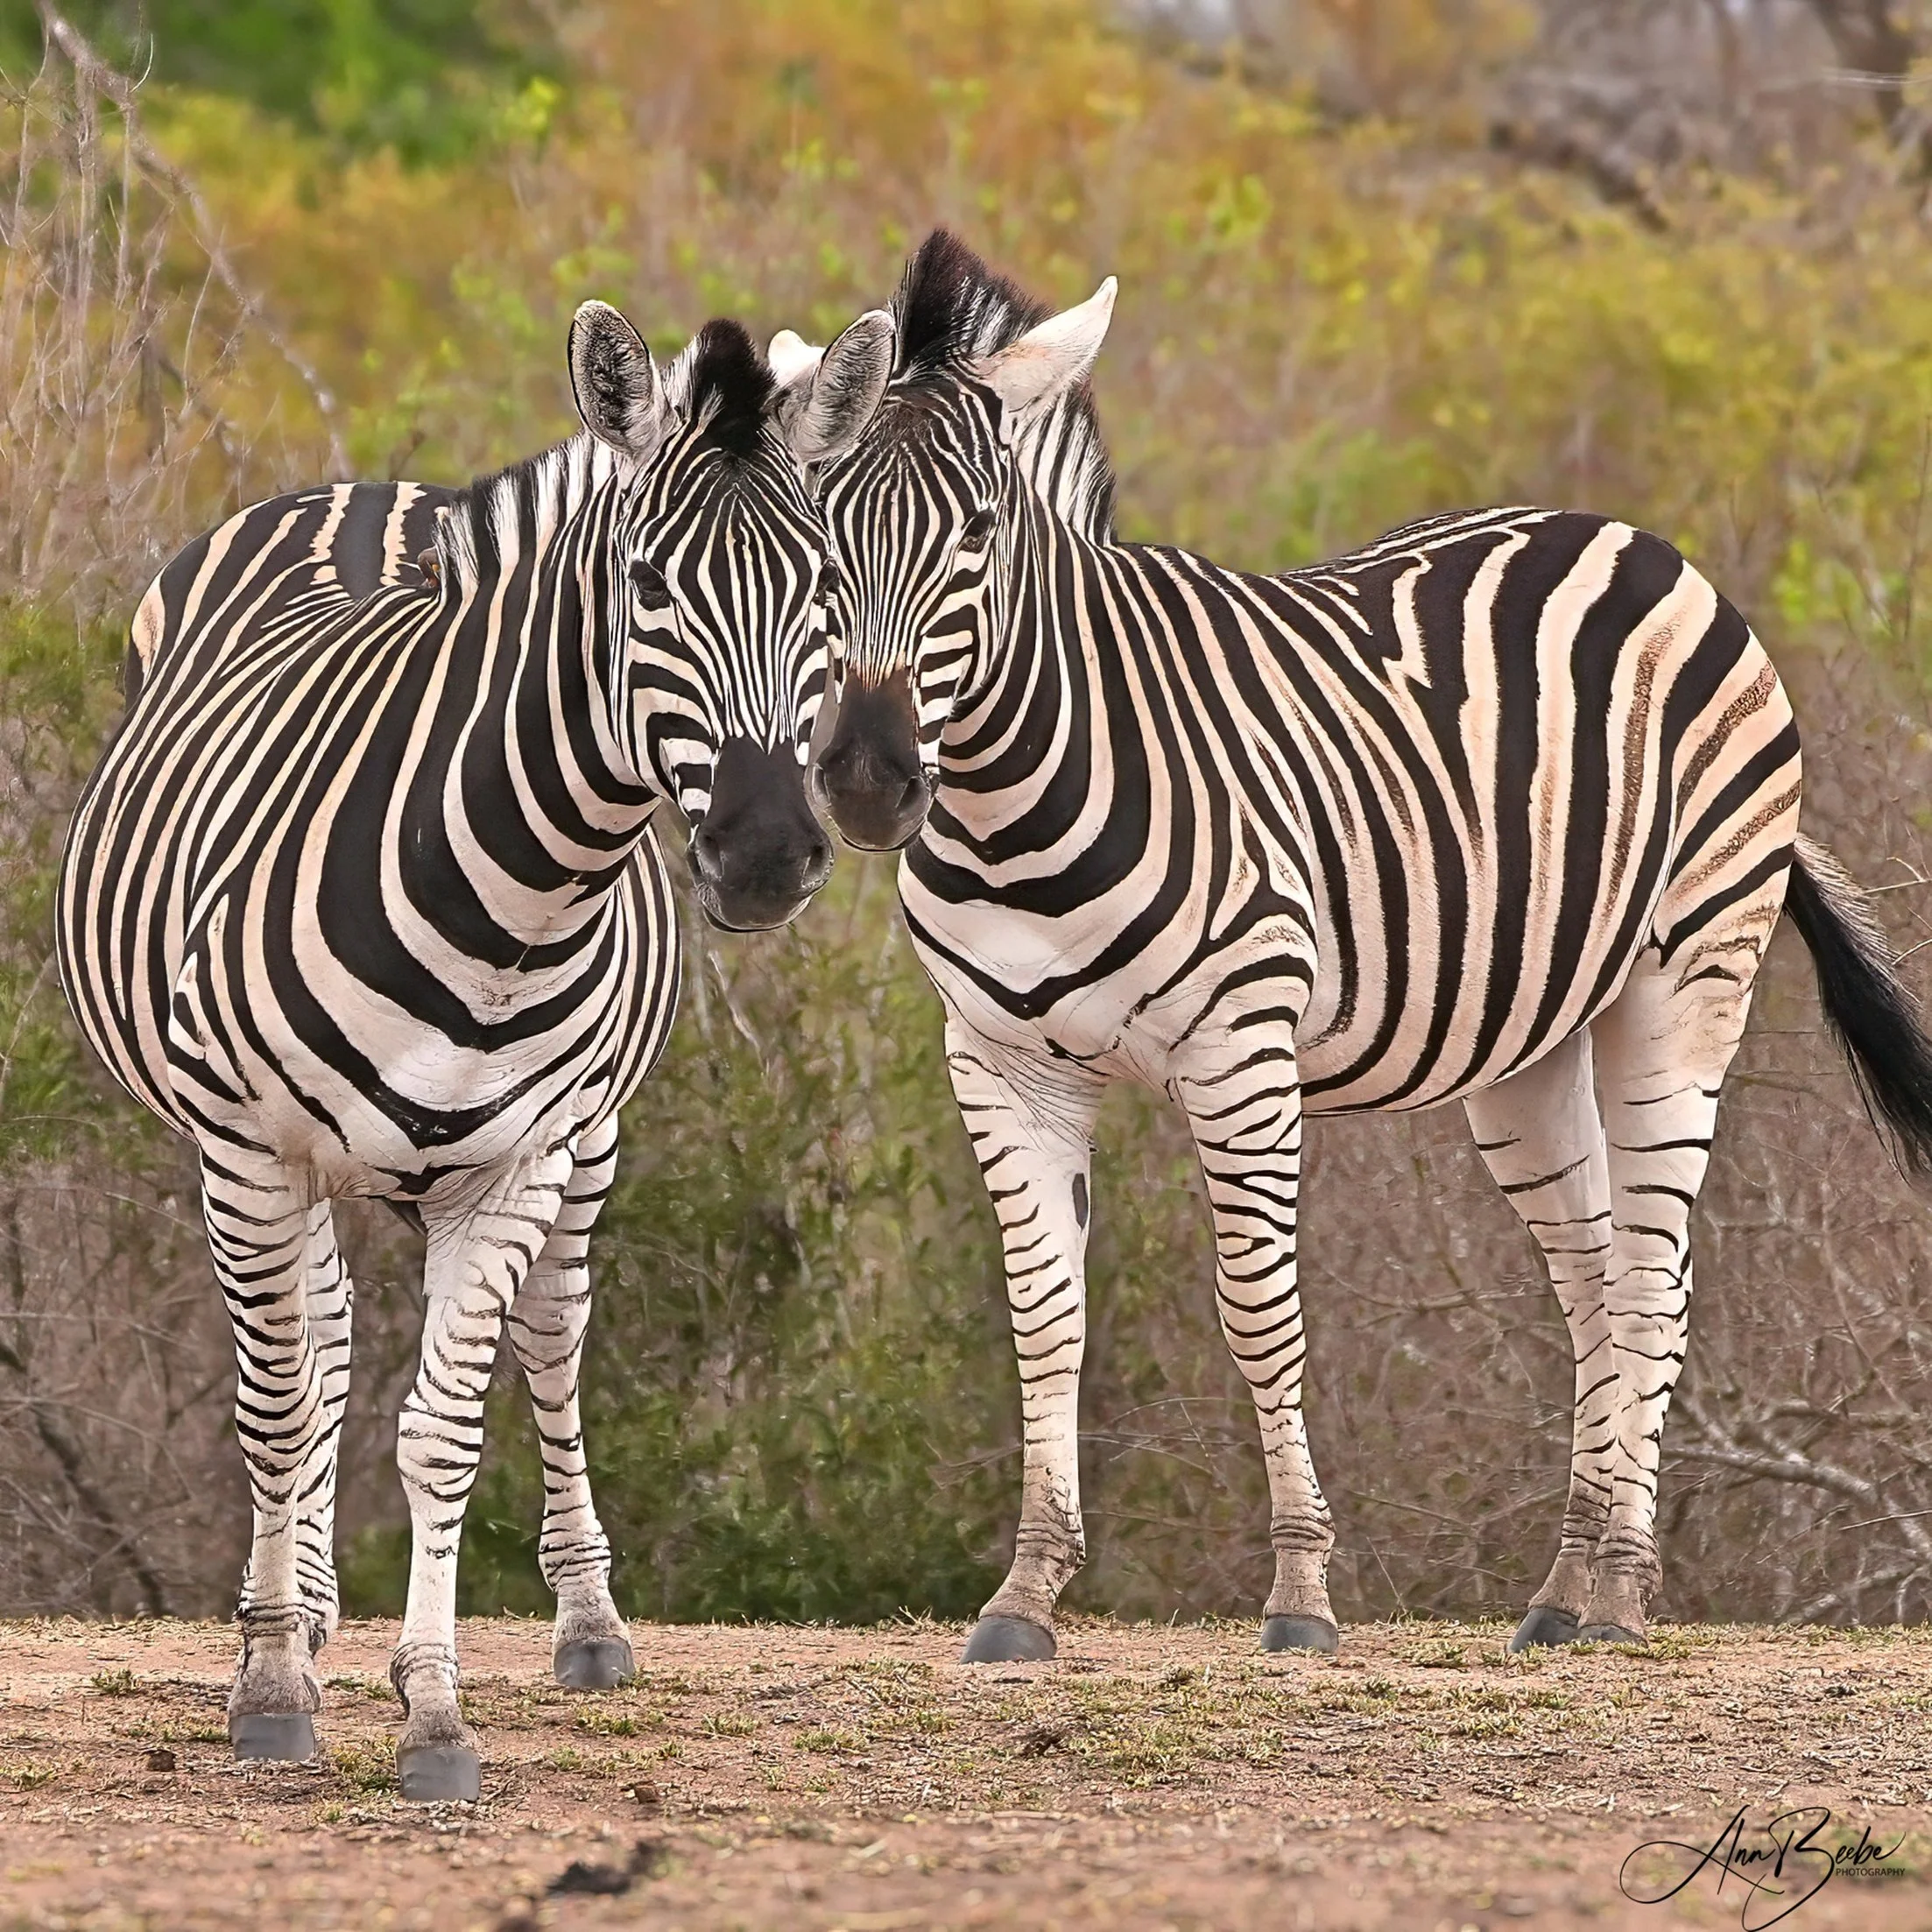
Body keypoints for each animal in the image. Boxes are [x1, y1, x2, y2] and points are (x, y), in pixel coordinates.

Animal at [56, 297, 891, 1797]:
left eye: (820, 589)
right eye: (644, 586)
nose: (765, 854)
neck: (509, 900)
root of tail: (367, 492)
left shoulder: (522, 1159)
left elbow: (442, 1431)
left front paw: (435, 1711)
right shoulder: (251, 1145)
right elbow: (280, 1406)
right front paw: (272, 1682)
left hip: (583, 1145)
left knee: (544, 1339)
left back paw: (582, 1621)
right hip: (251, 1151)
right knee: (309, 1352)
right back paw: (294, 1612)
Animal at [798, 231, 1932, 1663]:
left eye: (979, 535)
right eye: (816, 536)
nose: (868, 780)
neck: (1017, 810)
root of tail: (1632, 538)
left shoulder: (1241, 1047)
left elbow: (1256, 1306)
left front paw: (1297, 1594)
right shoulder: (1001, 1062)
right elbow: (1043, 1319)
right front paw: (1023, 1597)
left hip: (1685, 981)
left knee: (1651, 1278)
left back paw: (1621, 1594)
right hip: (1527, 1044)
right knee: (1592, 1275)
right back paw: (1562, 1592)